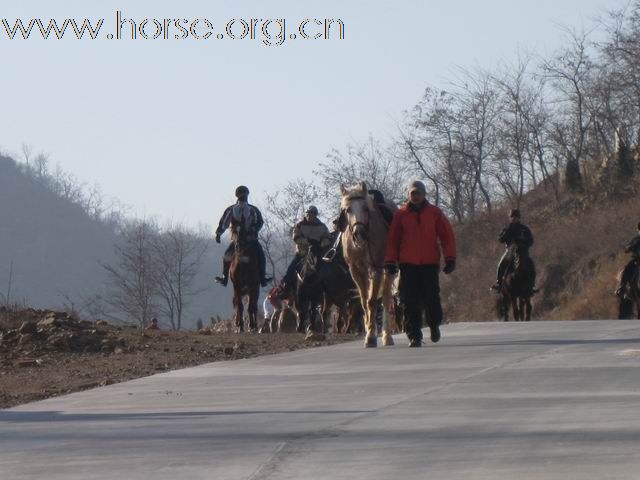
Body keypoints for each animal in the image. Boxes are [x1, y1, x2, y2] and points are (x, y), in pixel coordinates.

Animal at [342, 182, 398, 346]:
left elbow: (372, 301)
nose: (359, 233)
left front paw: (371, 337)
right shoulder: (356, 271)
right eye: (348, 210)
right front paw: (368, 330)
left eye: (366, 208)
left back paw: (387, 336)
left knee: (386, 298)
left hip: (389, 269)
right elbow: (364, 301)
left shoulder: (376, 269)